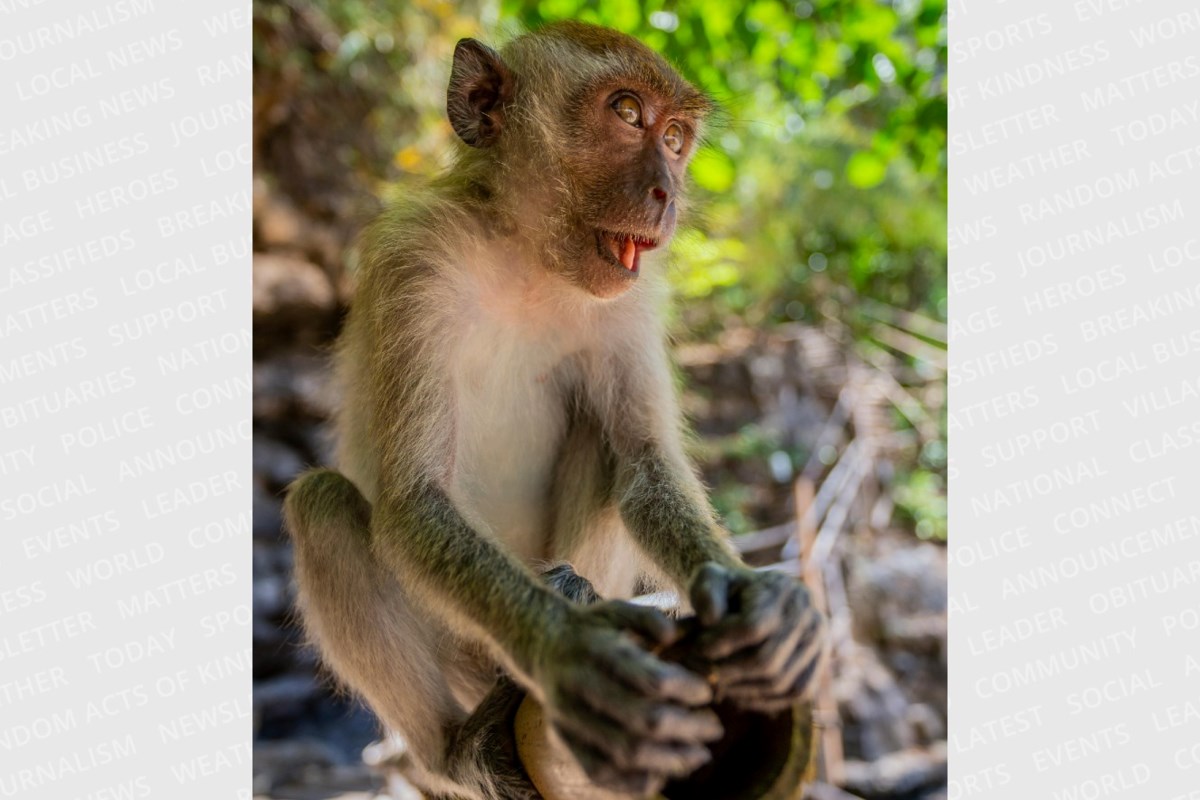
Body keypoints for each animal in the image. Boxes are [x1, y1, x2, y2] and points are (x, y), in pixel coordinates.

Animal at [284, 21, 826, 800]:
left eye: (677, 138)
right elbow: (415, 498)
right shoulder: (412, 260)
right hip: (461, 652)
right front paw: (567, 649)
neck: (527, 257)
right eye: (627, 113)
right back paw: (455, 751)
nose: (667, 191)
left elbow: (642, 463)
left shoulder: (628, 300)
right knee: (323, 505)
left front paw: (753, 596)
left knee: (604, 446)